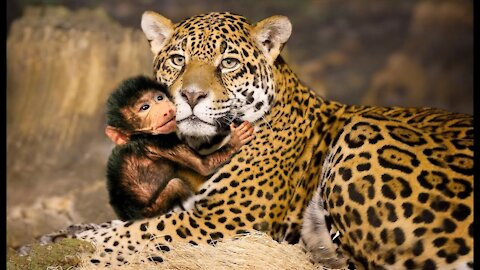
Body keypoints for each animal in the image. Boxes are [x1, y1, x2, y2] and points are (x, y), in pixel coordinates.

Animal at [105, 75, 255, 219]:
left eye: (159, 98)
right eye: (145, 107)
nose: (165, 109)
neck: (138, 136)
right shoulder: (162, 141)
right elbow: (204, 166)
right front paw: (236, 139)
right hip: (154, 209)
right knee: (176, 184)